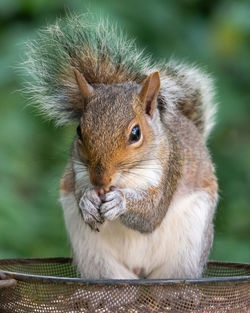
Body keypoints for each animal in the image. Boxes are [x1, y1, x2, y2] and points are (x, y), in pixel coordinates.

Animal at [24, 14, 218, 278]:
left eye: (136, 133)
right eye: (79, 131)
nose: (100, 181)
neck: (124, 180)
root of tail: (141, 270)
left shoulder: (171, 170)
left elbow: (151, 215)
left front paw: (120, 202)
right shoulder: (78, 171)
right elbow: (79, 192)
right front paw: (87, 202)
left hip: (187, 251)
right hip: (98, 260)